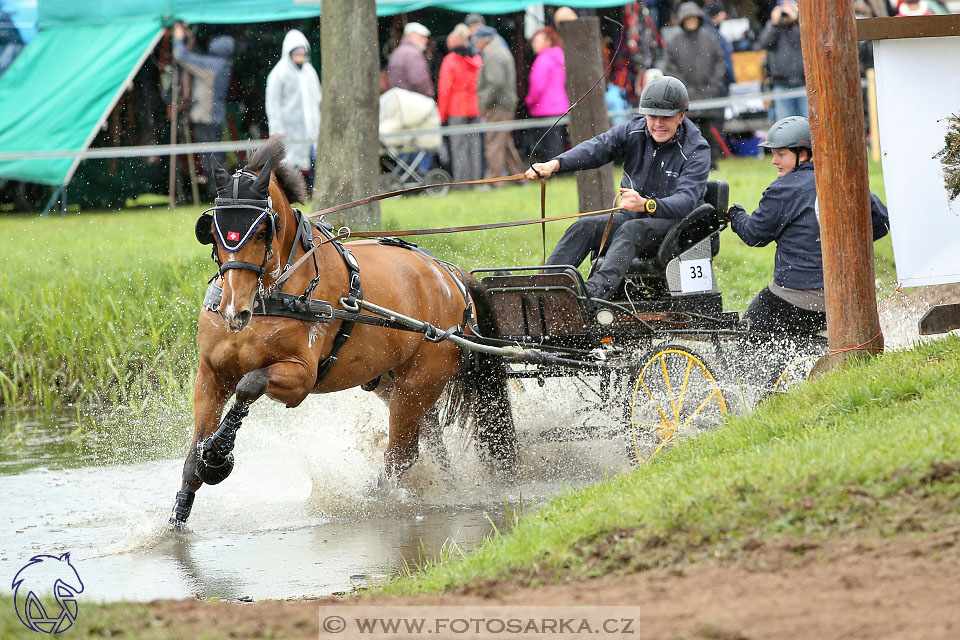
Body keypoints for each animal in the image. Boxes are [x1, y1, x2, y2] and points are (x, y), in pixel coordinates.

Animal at [172, 138, 516, 528]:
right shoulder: (211, 375)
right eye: (212, 231)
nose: (233, 308)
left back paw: (368, 500)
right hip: (397, 384)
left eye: (262, 231)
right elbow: (191, 461)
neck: (274, 295)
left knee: (402, 454)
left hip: (418, 384)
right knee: (428, 444)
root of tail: (451, 275)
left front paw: (217, 452)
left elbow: (250, 385)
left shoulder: (300, 378)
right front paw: (176, 518)